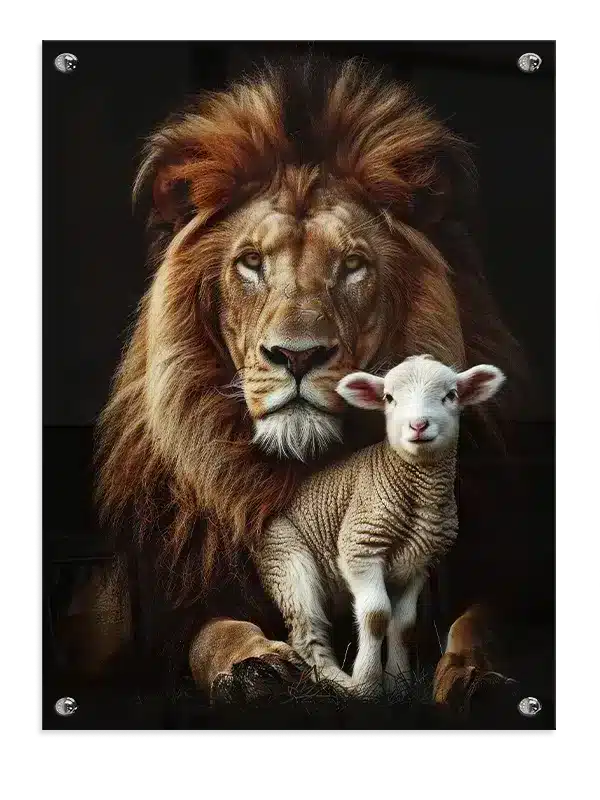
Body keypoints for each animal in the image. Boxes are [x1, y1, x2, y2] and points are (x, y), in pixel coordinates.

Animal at [255, 355, 506, 696]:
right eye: (389, 398)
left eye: (451, 395)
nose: (418, 425)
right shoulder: (361, 546)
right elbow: (376, 616)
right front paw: (367, 684)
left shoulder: (419, 561)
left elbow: (404, 623)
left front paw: (399, 681)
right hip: (286, 563)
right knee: (306, 628)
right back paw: (338, 681)